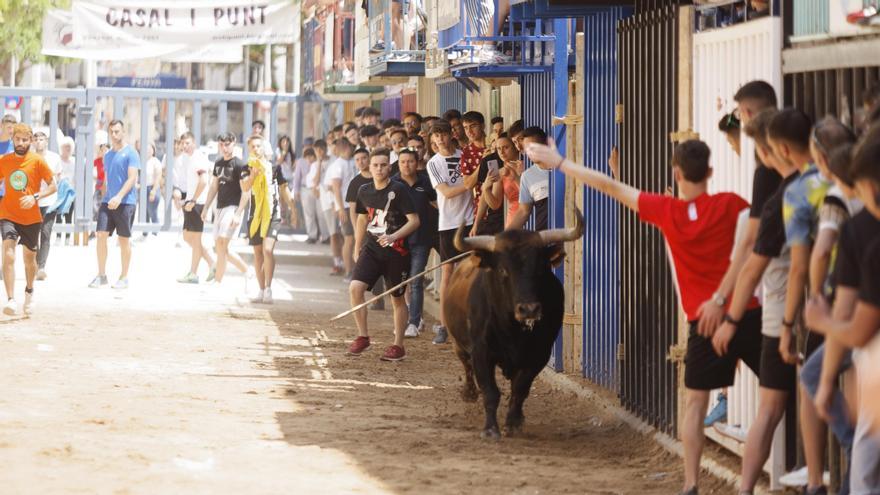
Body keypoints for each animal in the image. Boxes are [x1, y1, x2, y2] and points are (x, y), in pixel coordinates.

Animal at [446, 208, 584, 438]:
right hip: (457, 343)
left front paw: (513, 422)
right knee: (466, 364)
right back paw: (469, 392)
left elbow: (520, 389)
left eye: (541, 268)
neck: (512, 329)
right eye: (504, 270)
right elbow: (490, 391)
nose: (529, 309)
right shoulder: (481, 352)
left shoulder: (539, 354)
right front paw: (490, 429)